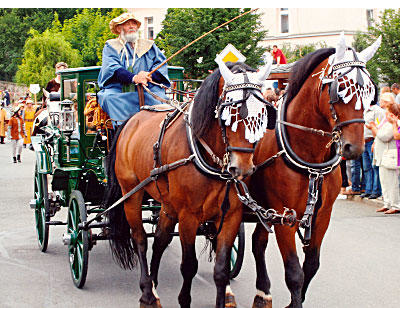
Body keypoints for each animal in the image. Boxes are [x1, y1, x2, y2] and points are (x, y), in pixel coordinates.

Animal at [104, 58, 276, 306]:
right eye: (230, 112)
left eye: (263, 113)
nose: (241, 168)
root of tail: (131, 120)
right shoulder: (188, 217)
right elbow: (189, 265)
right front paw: (184, 299)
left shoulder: (230, 216)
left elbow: (221, 270)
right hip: (131, 194)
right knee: (140, 239)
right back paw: (147, 291)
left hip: (167, 203)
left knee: (160, 239)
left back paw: (154, 283)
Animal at [248, 33, 382, 308]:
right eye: (341, 89)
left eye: (370, 92)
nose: (354, 147)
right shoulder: (283, 216)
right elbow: (294, 272)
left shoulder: (322, 215)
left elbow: (311, 265)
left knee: (258, 243)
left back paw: (262, 292)